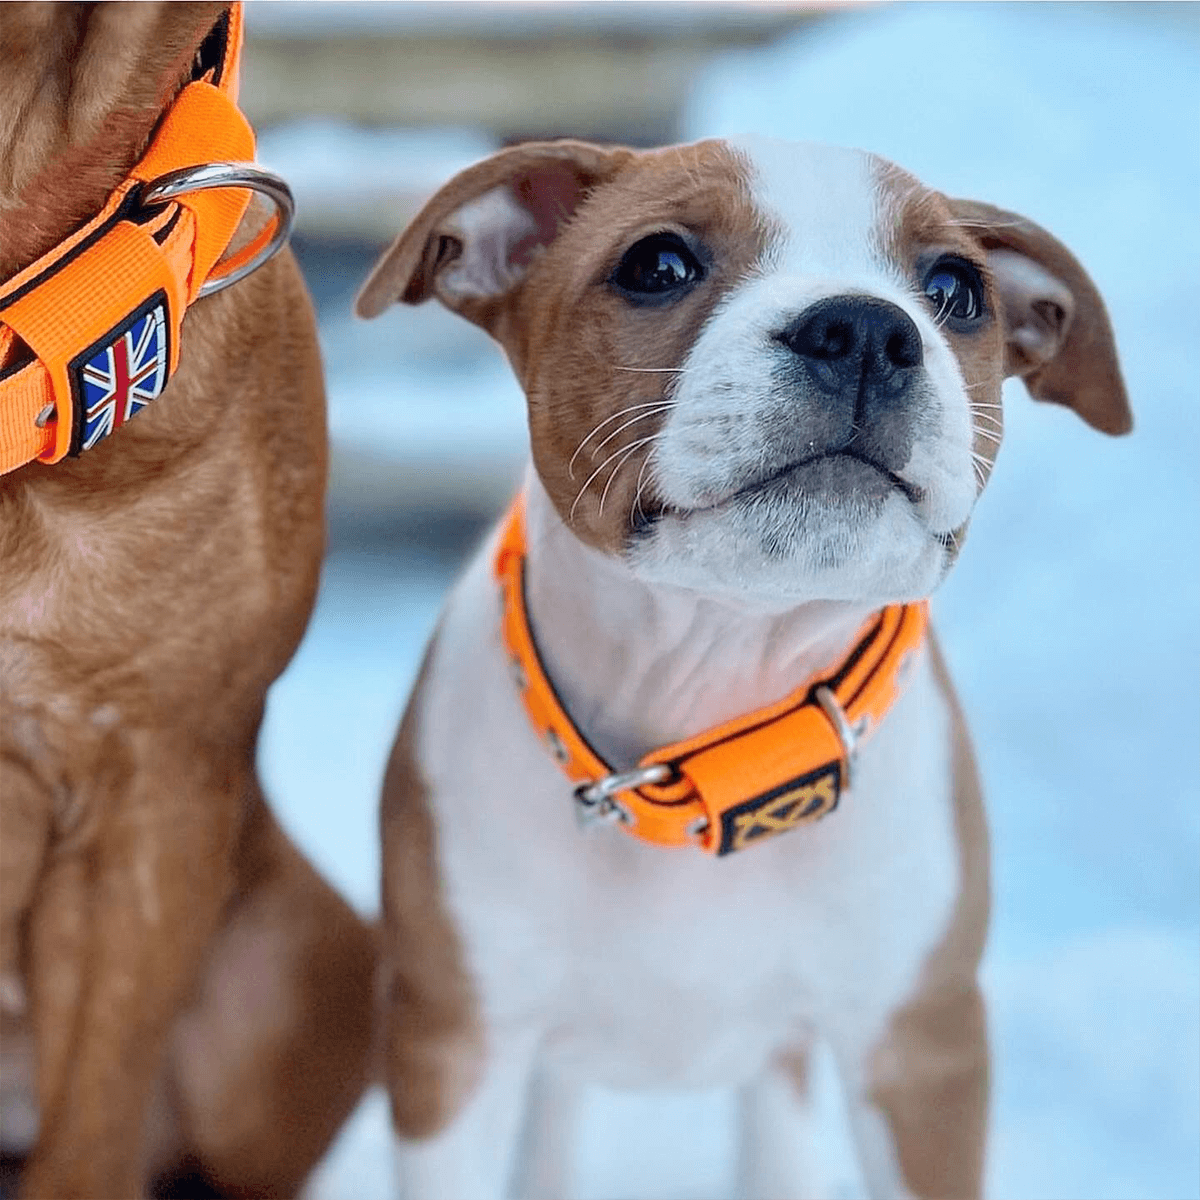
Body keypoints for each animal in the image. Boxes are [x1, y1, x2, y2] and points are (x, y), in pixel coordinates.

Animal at [360, 136, 1128, 1195]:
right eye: (658, 264)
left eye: (955, 288)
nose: (863, 330)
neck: (713, 688)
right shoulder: (453, 1046)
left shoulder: (920, 1048)